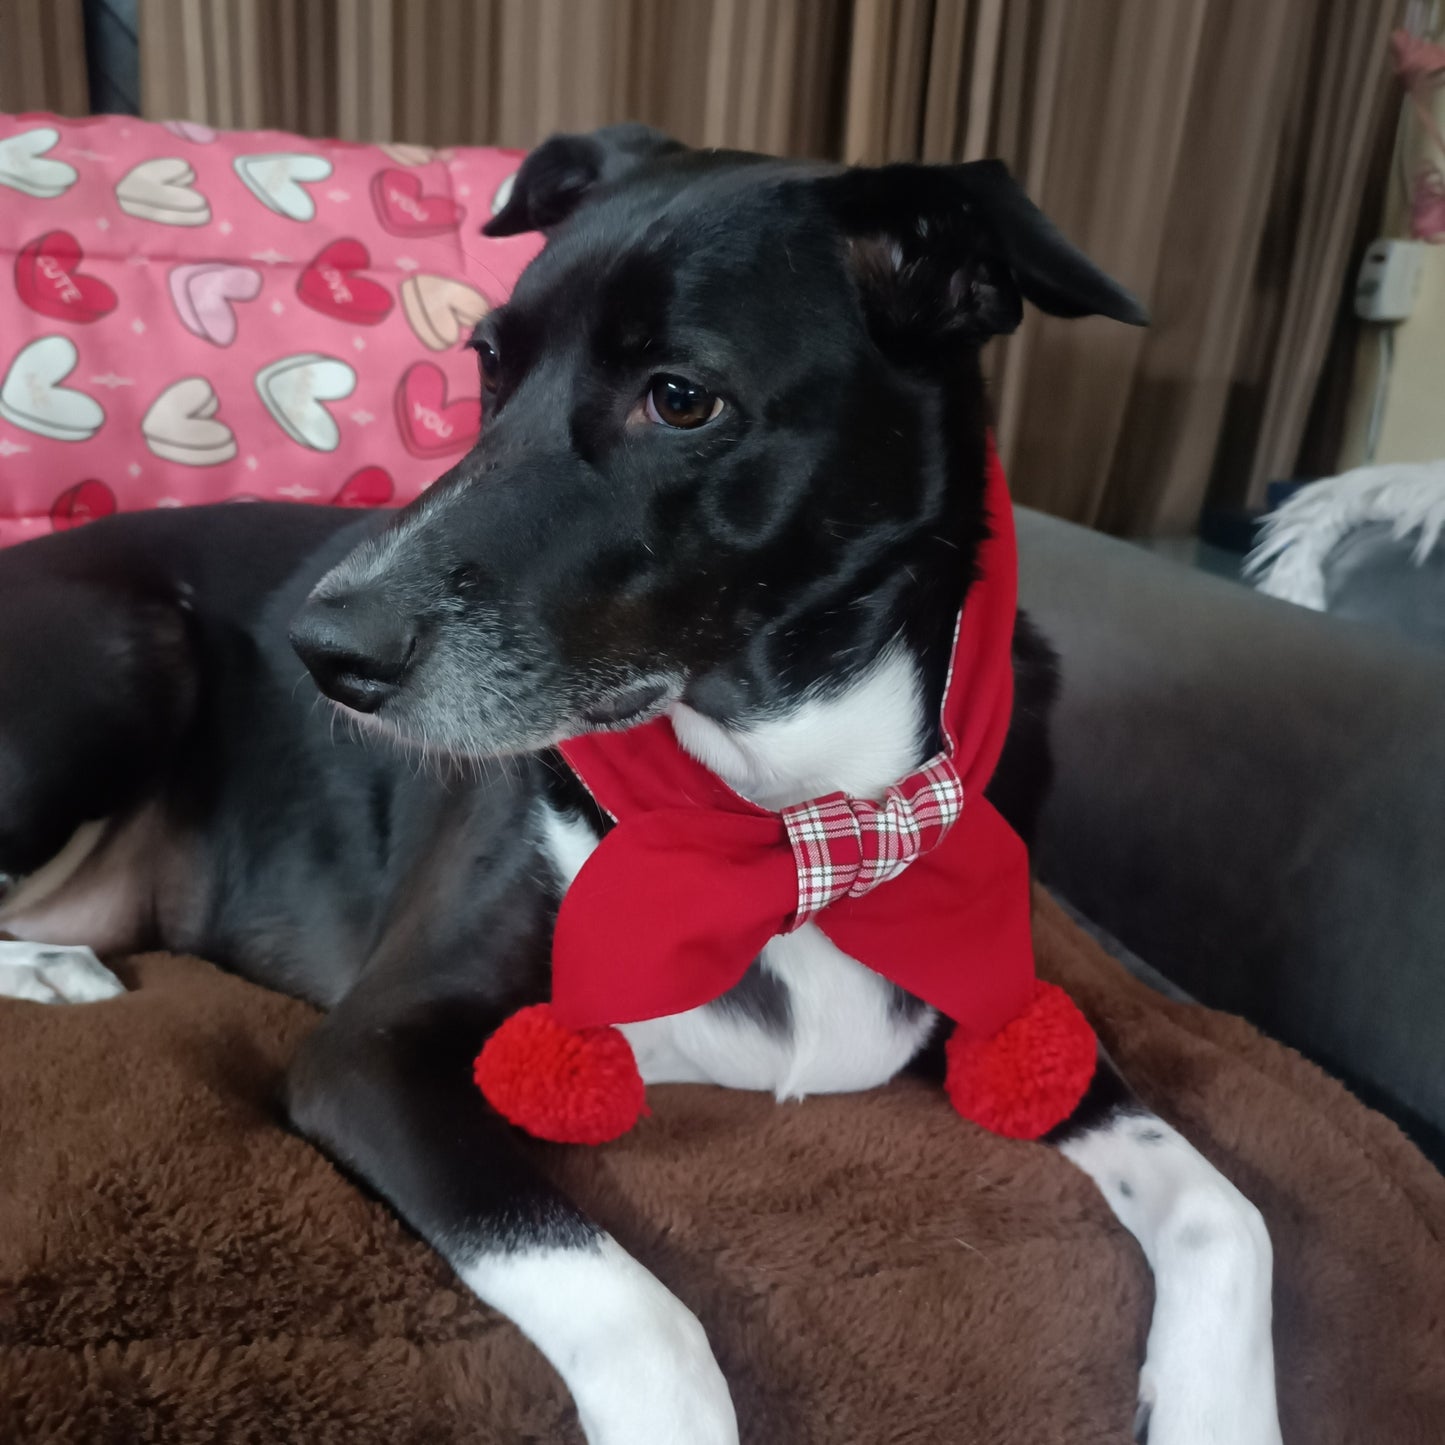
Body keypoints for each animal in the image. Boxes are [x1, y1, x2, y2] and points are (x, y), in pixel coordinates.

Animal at [0, 130, 1283, 1439]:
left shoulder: (1008, 1009)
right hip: (124, 648)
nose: (320, 652)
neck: (788, 812)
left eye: (678, 396)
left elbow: (1226, 1210)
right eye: (490, 370)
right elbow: (641, 1312)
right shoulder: (364, 1054)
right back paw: (50, 969)